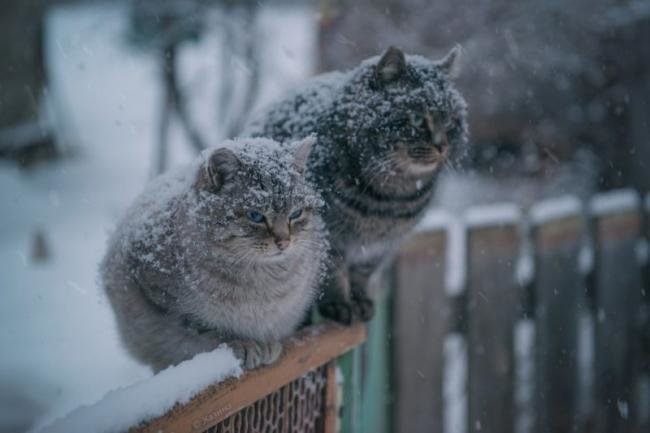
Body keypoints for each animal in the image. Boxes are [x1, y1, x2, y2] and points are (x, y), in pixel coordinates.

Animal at [100, 137, 330, 370]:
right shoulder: (161, 297)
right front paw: (244, 343)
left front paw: (265, 344)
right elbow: (205, 329)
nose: (284, 242)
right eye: (255, 216)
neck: (261, 280)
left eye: (296, 213)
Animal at [243, 46, 466, 324]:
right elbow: (333, 273)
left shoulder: (378, 247)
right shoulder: (328, 236)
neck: (390, 199)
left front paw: (360, 301)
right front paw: (339, 305)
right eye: (416, 119)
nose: (442, 145)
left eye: (450, 121)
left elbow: (362, 274)